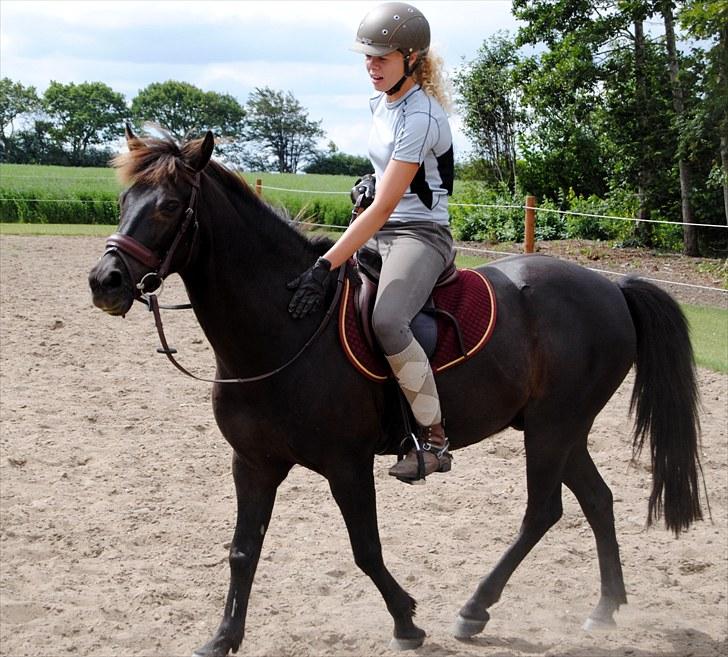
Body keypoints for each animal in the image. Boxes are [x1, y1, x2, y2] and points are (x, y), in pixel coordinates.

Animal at [88, 128, 703, 657]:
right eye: (125, 200)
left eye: (170, 206)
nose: (104, 281)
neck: (284, 327)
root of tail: (612, 287)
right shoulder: (254, 462)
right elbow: (243, 551)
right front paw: (222, 638)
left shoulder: (347, 464)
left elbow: (365, 548)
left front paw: (406, 621)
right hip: (559, 428)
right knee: (596, 500)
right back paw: (604, 607)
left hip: (554, 428)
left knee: (542, 511)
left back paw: (475, 609)